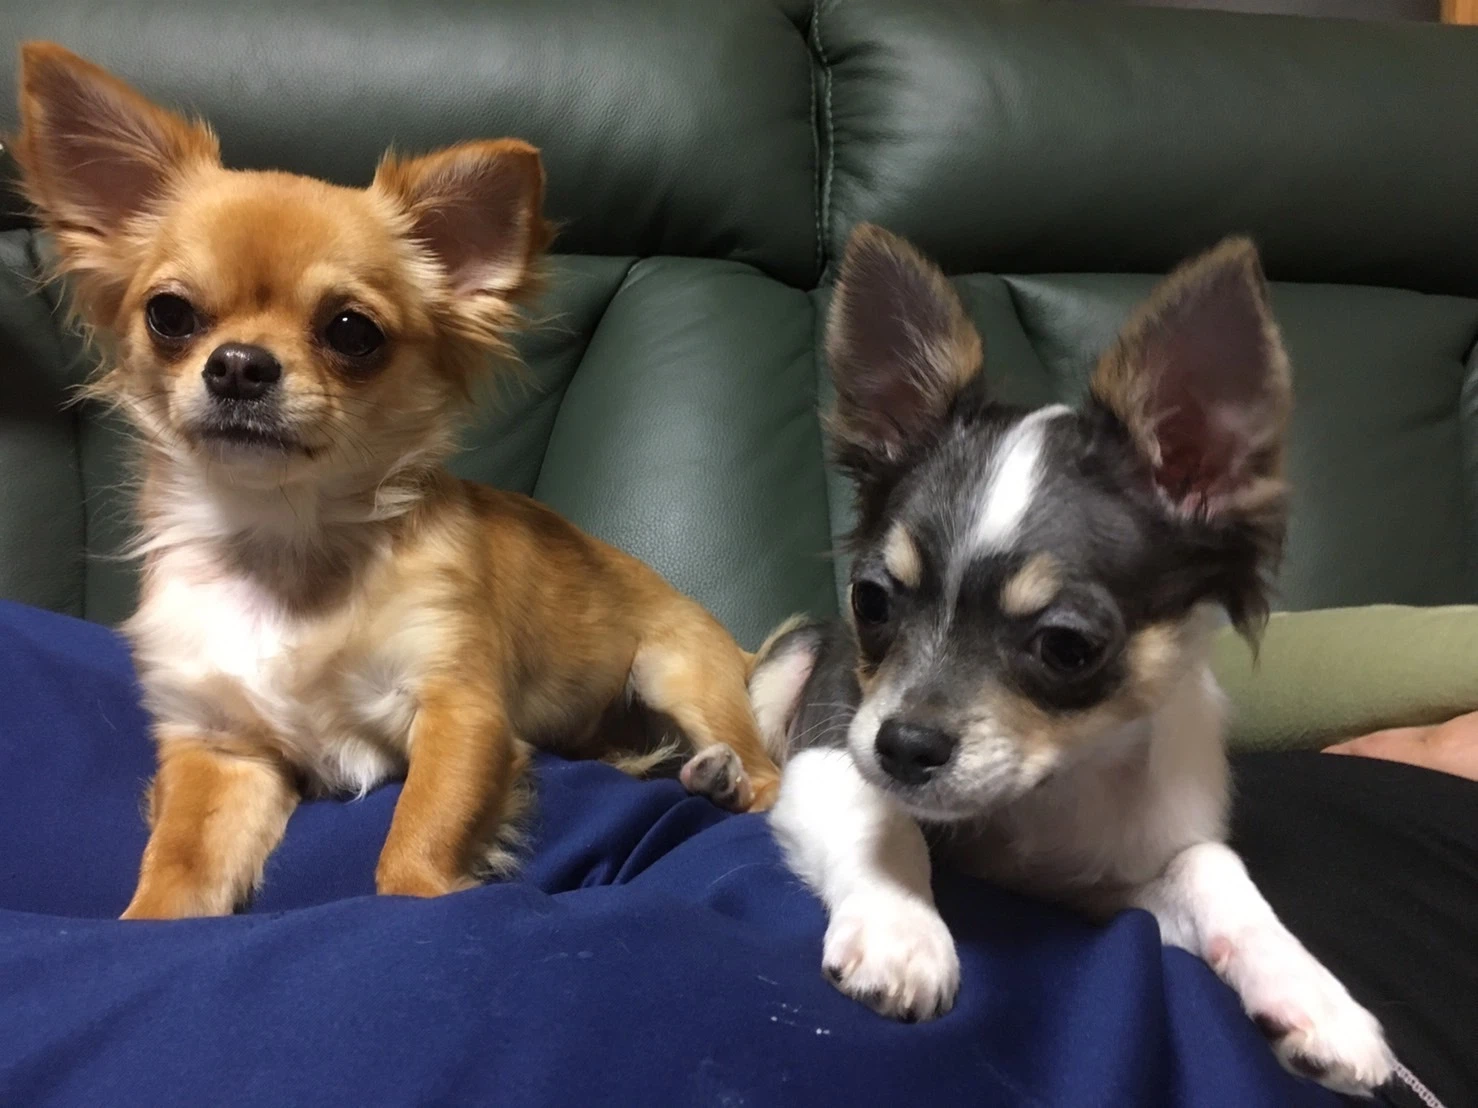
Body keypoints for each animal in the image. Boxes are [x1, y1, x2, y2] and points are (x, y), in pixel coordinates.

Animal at [13, 42, 781, 919]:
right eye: (169, 315)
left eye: (352, 331)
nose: (238, 364)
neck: (285, 540)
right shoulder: (223, 748)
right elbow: (177, 863)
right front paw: (150, 922)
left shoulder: (459, 709)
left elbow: (417, 837)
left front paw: (423, 897)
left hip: (673, 667)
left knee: (770, 775)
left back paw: (723, 776)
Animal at [703, 224, 1395, 1096]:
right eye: (871, 602)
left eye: (1067, 648)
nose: (903, 745)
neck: (1044, 787)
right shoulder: (834, 745)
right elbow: (880, 817)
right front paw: (902, 928)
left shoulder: (1104, 892)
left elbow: (1210, 865)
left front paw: (1312, 993)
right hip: (788, 661)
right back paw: (716, 773)